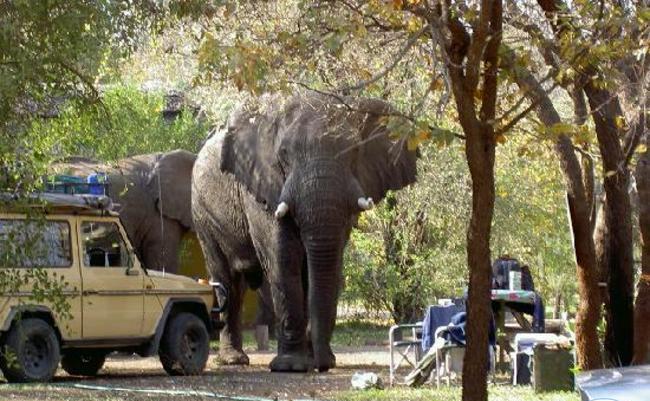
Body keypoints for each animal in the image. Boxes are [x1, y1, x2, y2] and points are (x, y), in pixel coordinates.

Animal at [192, 92, 417, 372]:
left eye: (355, 151)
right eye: (284, 154)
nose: (323, 365)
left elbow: (327, 262)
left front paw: (315, 360)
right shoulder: (262, 186)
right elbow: (283, 259)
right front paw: (290, 366)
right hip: (202, 212)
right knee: (227, 280)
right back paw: (233, 361)